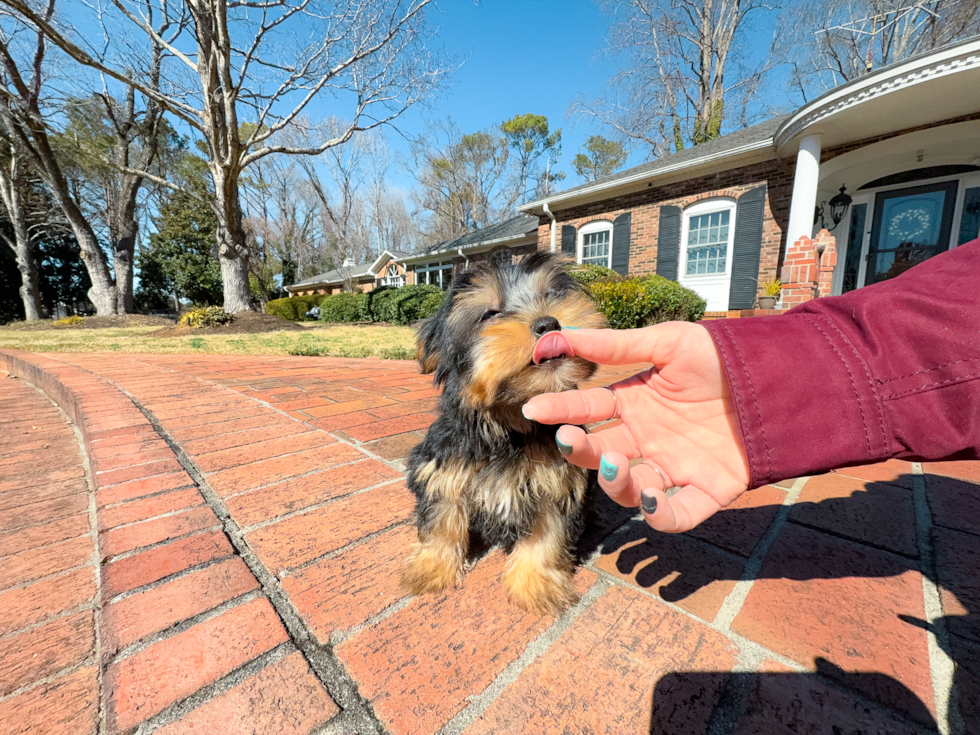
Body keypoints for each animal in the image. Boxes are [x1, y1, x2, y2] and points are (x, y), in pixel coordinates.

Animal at [404, 253, 604, 616]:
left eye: (551, 294)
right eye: (489, 314)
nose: (548, 323)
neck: (509, 423)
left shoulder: (555, 480)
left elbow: (547, 533)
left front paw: (535, 583)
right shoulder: (446, 467)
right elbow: (442, 518)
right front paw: (432, 567)